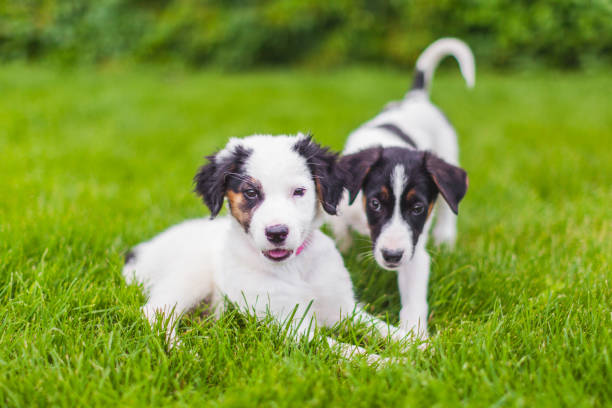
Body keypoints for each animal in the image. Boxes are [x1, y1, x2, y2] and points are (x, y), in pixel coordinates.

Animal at [123, 132, 406, 362]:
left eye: (299, 191)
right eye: (250, 192)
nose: (277, 233)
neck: (295, 268)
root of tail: (139, 252)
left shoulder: (343, 309)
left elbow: (385, 329)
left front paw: (415, 346)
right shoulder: (289, 327)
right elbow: (350, 350)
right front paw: (393, 365)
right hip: (190, 275)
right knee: (155, 312)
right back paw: (182, 350)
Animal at [330, 39, 474, 342]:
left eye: (417, 208)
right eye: (375, 203)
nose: (392, 256)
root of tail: (416, 99)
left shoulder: (413, 247)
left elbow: (415, 295)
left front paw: (415, 336)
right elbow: (339, 234)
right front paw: (345, 249)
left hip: (448, 156)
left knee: (449, 210)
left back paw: (446, 240)